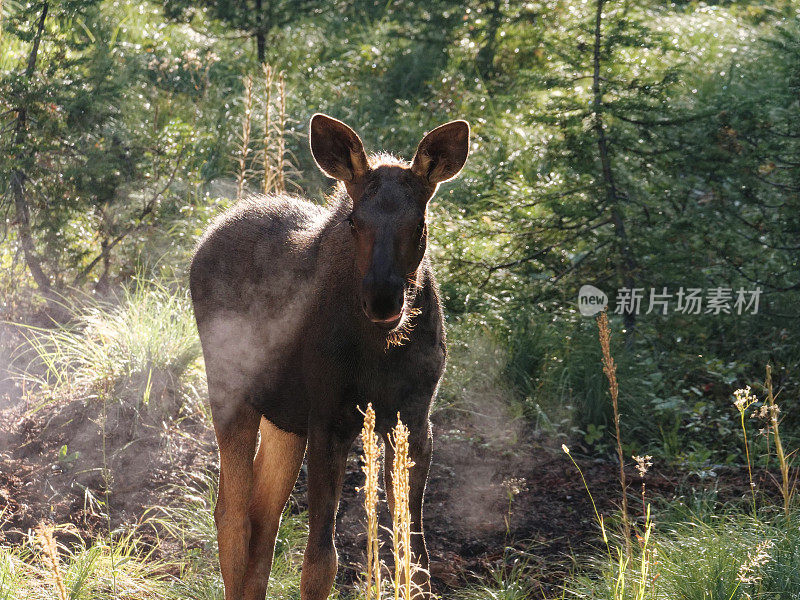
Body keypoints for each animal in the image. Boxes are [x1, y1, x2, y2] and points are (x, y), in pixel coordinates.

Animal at [190, 113, 468, 600]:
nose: (382, 298)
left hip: (285, 421)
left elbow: (416, 560)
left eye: (419, 221)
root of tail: (210, 233)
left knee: (264, 516)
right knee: (232, 515)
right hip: (231, 391)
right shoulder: (329, 418)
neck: (382, 351)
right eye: (354, 220)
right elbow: (321, 563)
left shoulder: (415, 418)